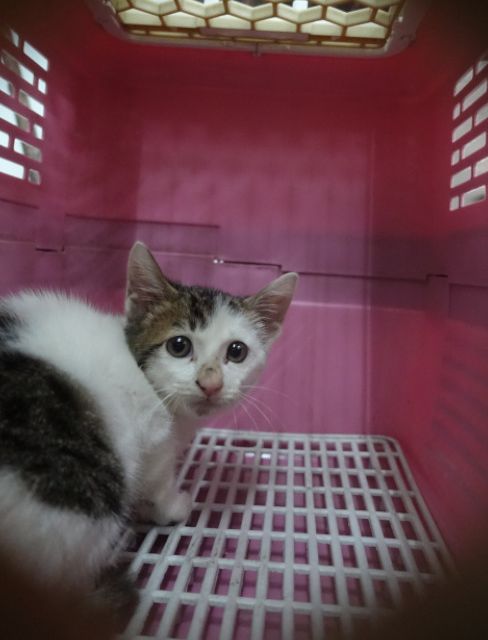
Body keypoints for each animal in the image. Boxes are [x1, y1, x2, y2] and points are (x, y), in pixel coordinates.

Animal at [0, 241, 297, 609]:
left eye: (237, 351)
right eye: (178, 345)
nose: (210, 384)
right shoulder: (155, 442)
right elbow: (157, 482)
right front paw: (173, 506)